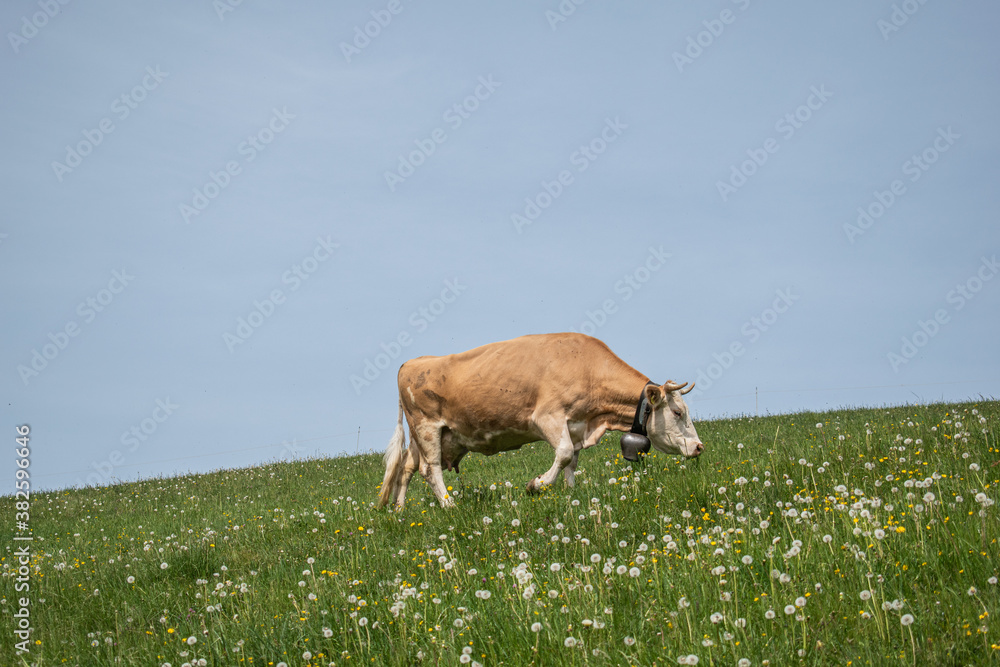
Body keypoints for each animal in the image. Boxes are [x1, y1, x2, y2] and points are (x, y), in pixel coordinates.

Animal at [376, 334, 704, 512]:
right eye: (677, 412)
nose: (699, 447)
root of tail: (412, 362)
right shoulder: (548, 417)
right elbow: (565, 454)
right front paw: (537, 485)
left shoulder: (576, 425)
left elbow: (572, 462)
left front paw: (572, 493)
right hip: (427, 428)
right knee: (429, 470)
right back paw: (449, 505)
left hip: (426, 437)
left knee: (406, 468)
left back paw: (400, 509)